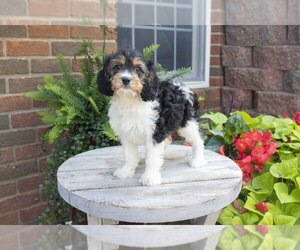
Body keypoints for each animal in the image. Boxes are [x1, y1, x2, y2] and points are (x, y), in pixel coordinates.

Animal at [97, 48, 205, 186]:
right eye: (117, 67)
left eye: (138, 69)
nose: (125, 79)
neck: (130, 100)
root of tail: (183, 87)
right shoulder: (126, 134)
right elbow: (129, 155)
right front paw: (126, 171)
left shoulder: (154, 132)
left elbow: (152, 157)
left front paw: (150, 177)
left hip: (188, 123)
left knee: (198, 140)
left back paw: (198, 160)